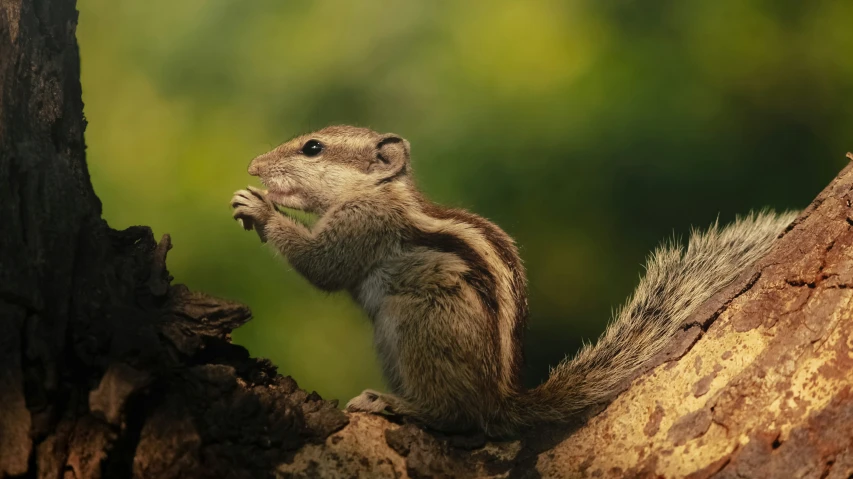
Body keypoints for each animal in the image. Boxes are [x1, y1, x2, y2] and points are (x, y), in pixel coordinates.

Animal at [230, 124, 796, 438]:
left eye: (313, 148)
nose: (253, 165)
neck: (379, 191)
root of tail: (500, 397)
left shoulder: (365, 224)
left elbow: (322, 264)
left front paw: (259, 208)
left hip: (421, 326)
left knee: (459, 415)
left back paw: (399, 405)